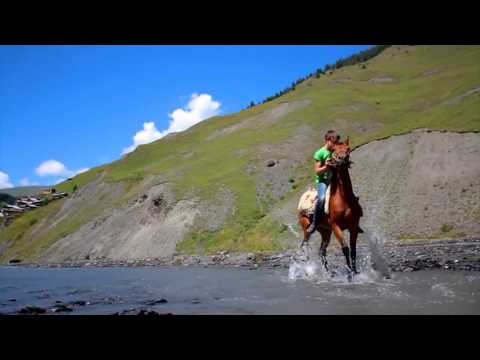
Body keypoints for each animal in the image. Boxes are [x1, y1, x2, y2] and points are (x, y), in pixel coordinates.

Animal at [296, 136, 364, 274]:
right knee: (304, 245)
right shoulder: (336, 226)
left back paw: (328, 273)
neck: (343, 199)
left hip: (325, 231)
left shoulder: (353, 227)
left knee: (322, 251)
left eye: (348, 148)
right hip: (307, 228)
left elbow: (353, 251)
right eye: (335, 150)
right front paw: (349, 273)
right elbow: (345, 248)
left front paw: (355, 272)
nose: (341, 159)